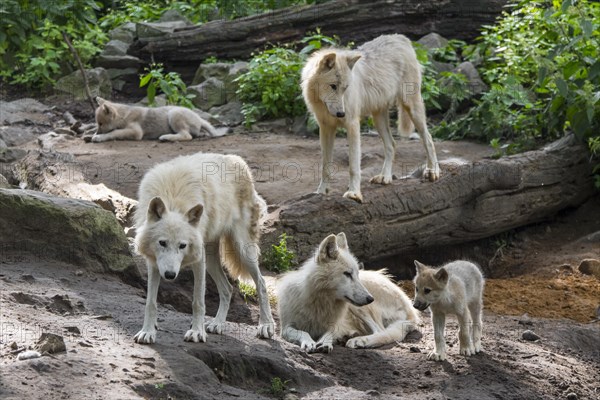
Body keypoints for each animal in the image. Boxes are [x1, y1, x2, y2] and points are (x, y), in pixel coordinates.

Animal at [88, 97, 221, 142]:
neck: (123, 116)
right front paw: (92, 135)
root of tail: (199, 118)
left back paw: (166, 137)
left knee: (186, 136)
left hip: (173, 114)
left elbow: (114, 132)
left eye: (101, 123)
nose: (98, 132)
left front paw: (99, 137)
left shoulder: (136, 132)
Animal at [133, 152, 274, 344]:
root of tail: (238, 160)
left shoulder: (198, 260)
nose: (170, 275)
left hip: (242, 250)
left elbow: (198, 301)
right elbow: (151, 302)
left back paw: (266, 325)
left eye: (182, 246)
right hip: (211, 259)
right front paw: (147, 332)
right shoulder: (154, 262)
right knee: (228, 288)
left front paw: (196, 332)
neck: (173, 200)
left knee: (261, 282)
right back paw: (218, 323)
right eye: (162, 243)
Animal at [278, 231, 420, 354]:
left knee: (381, 331)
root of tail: (410, 306)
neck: (321, 301)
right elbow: (303, 332)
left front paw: (325, 342)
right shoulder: (285, 327)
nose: (371, 299)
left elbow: (331, 331)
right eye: (347, 274)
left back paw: (359, 341)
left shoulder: (338, 324)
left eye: (357, 274)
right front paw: (309, 342)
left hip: (358, 308)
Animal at [302, 33, 438, 203]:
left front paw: (354, 193)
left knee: (428, 138)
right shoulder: (326, 128)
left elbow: (354, 166)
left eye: (345, 88)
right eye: (333, 86)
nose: (341, 114)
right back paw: (385, 177)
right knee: (392, 144)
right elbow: (325, 167)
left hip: (411, 108)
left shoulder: (352, 125)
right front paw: (321, 192)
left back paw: (432, 171)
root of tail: (400, 38)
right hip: (378, 118)